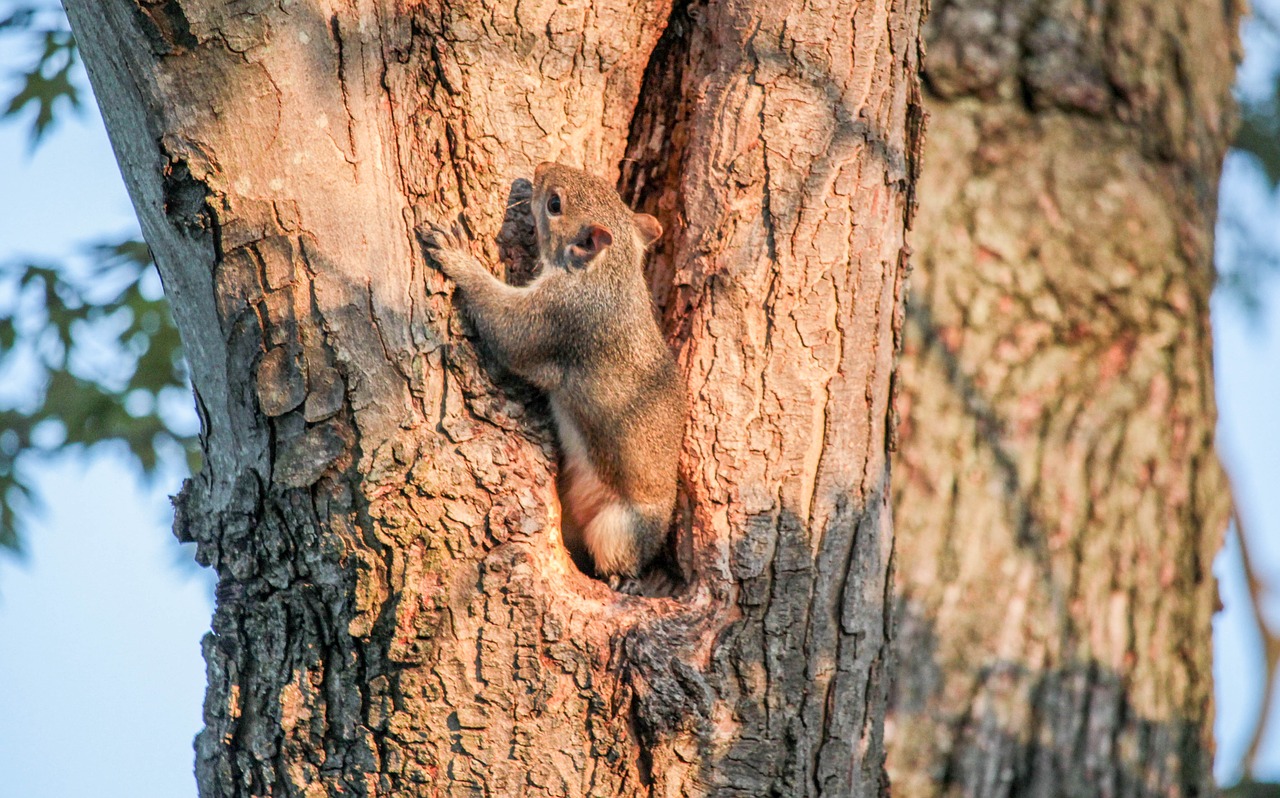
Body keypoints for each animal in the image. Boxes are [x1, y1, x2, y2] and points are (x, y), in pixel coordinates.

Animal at [422, 162, 686, 589]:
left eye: (554, 204)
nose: (541, 167)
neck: (606, 276)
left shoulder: (558, 319)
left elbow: (508, 331)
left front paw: (455, 255)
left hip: (621, 527)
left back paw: (622, 577)